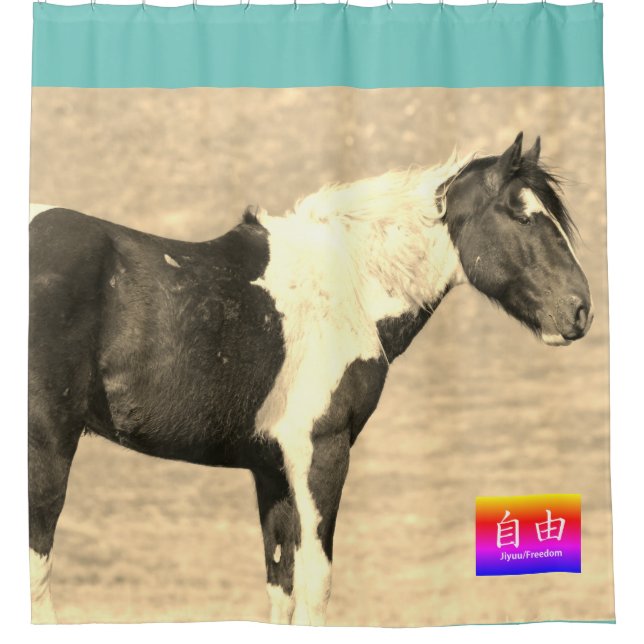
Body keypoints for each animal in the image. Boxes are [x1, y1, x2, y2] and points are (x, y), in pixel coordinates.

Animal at [28, 133, 593, 625]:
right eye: (521, 215)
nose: (580, 311)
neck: (350, 282)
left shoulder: (272, 468)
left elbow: (282, 586)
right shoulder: (322, 450)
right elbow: (316, 585)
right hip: (47, 445)